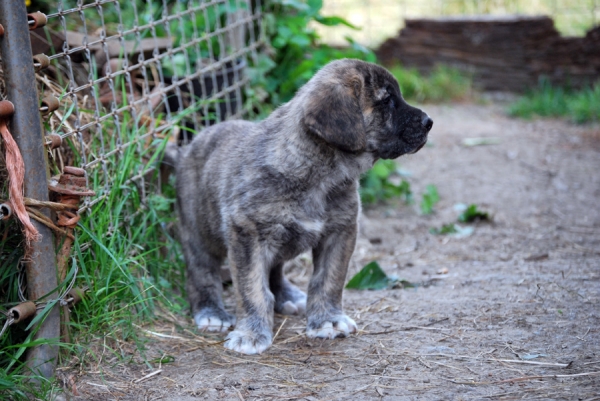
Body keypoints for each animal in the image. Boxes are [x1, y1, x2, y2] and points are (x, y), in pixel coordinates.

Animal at [166, 59, 434, 354]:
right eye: (386, 100)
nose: (429, 122)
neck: (318, 173)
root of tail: (189, 146)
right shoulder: (247, 235)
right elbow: (252, 289)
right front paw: (251, 333)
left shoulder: (340, 231)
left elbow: (328, 280)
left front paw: (327, 319)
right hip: (198, 231)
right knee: (201, 272)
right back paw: (211, 311)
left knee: (275, 270)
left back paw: (288, 295)